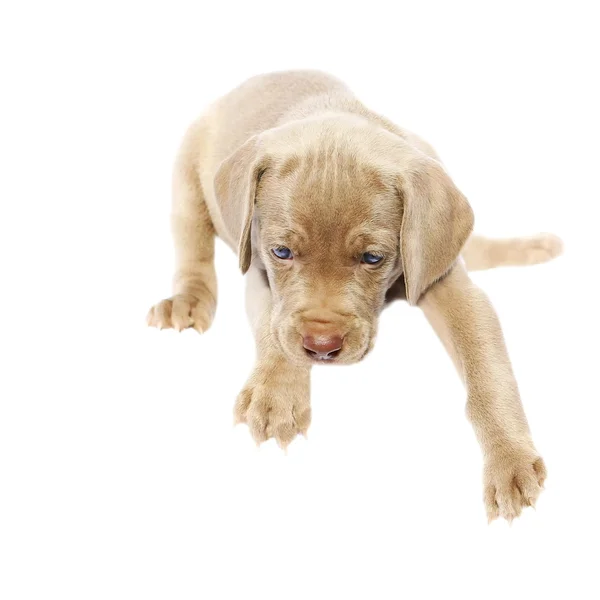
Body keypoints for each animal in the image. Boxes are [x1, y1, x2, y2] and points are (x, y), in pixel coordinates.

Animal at [146, 70, 564, 520]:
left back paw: (534, 247)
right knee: (193, 246)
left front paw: (509, 459)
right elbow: (273, 331)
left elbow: (487, 370)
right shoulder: (259, 271)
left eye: (372, 258)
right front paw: (276, 395)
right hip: (188, 176)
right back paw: (186, 301)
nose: (321, 346)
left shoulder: (449, 284)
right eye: (282, 252)